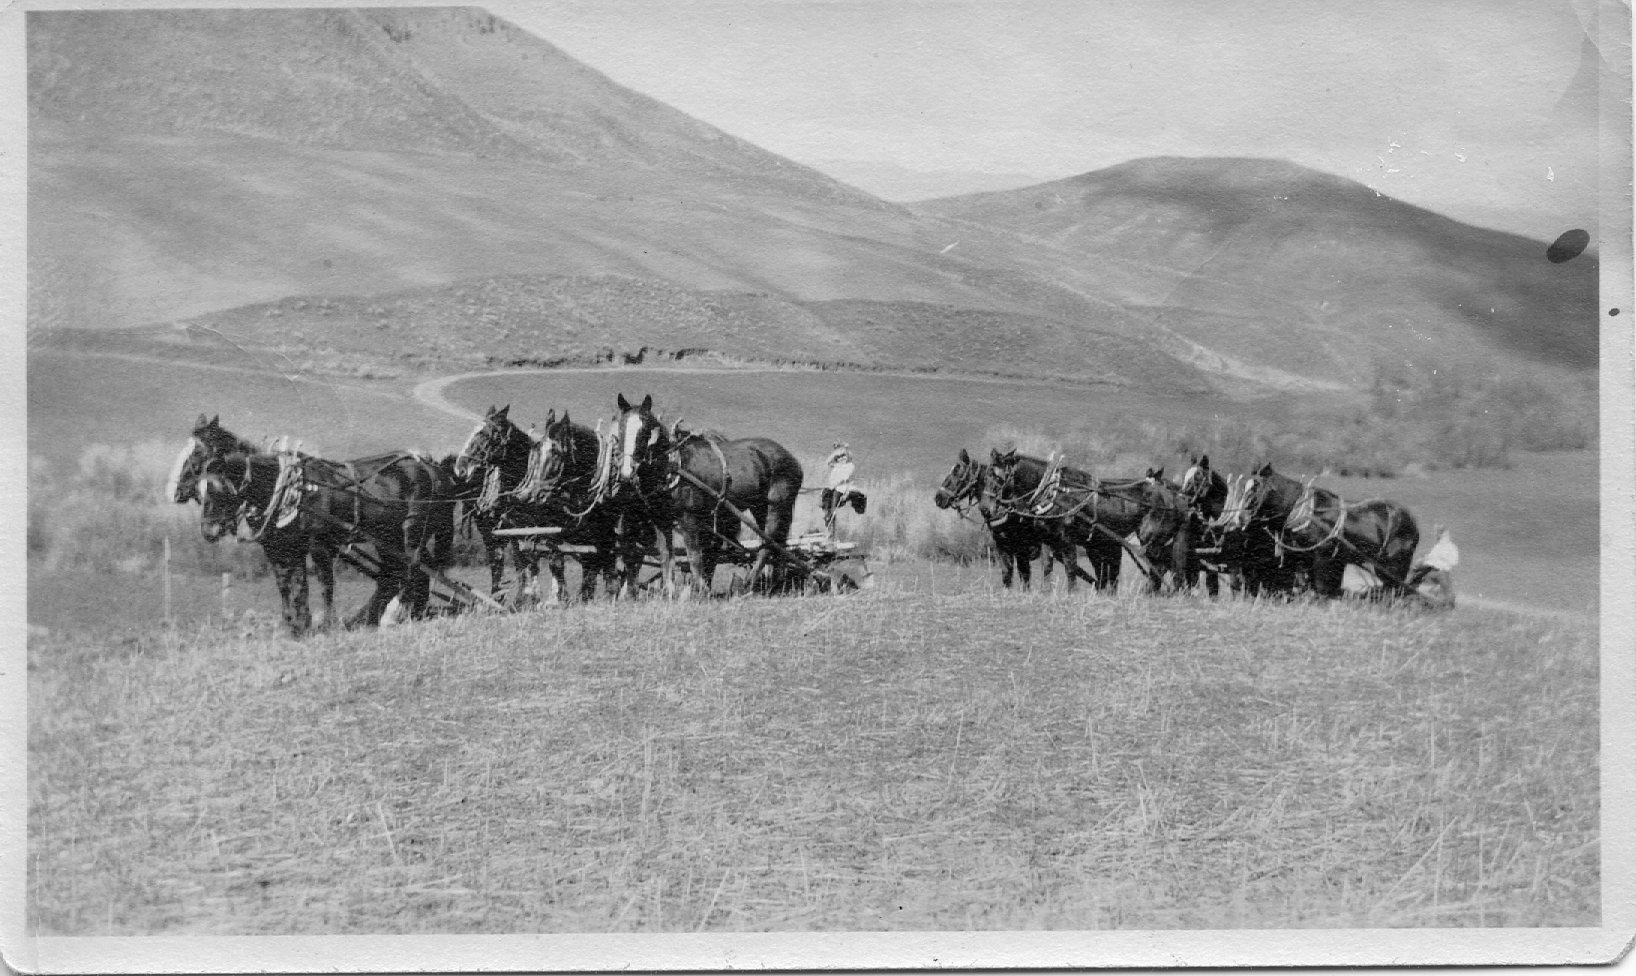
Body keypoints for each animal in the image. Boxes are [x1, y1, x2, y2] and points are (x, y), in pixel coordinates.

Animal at [195, 447, 458, 634]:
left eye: (217, 489)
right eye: (199, 493)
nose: (208, 531)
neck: (295, 491)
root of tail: (435, 469)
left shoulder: (320, 545)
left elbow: (324, 584)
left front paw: (326, 623)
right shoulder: (283, 549)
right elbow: (290, 584)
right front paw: (297, 624)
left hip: (412, 531)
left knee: (411, 568)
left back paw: (393, 616)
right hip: (388, 536)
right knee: (399, 574)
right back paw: (391, 616)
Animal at [611, 393, 801, 595]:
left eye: (645, 429)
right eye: (621, 428)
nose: (626, 471)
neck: (673, 467)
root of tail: (792, 460)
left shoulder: (689, 519)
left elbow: (694, 555)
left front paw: (699, 590)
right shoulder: (661, 520)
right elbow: (666, 556)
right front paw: (669, 592)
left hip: (777, 506)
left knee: (768, 544)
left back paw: (748, 584)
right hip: (761, 507)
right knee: (775, 544)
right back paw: (775, 584)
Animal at [1230, 461, 1420, 598]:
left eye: (1255, 488)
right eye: (1244, 487)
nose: (1240, 517)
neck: (1309, 513)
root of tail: (1411, 521)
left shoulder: (1323, 556)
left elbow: (1320, 590)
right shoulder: (1304, 557)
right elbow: (1307, 587)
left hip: (1393, 564)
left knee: (1397, 590)